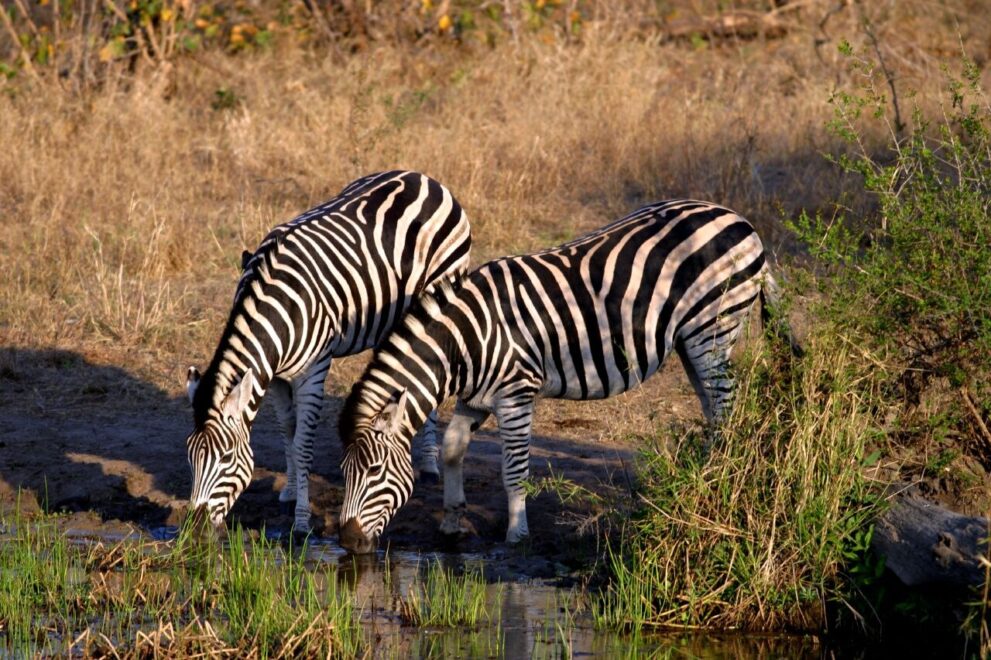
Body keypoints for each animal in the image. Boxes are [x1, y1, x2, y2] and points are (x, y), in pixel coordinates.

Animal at [184, 170, 471, 534]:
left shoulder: (313, 371)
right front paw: (289, 493)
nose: (194, 528)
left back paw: (431, 465)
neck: (277, 309)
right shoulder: (275, 376)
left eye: (225, 458)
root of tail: (423, 177)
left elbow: (303, 445)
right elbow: (287, 434)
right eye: (190, 455)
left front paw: (301, 520)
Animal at [336, 199, 800, 553]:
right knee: (712, 407)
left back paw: (719, 476)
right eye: (345, 473)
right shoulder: (476, 398)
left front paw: (517, 532)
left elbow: (514, 466)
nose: (347, 542)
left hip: (714, 325)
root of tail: (737, 218)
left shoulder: (517, 393)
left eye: (374, 472)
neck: (466, 341)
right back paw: (703, 474)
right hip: (692, 339)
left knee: (726, 405)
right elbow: (453, 449)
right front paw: (452, 520)